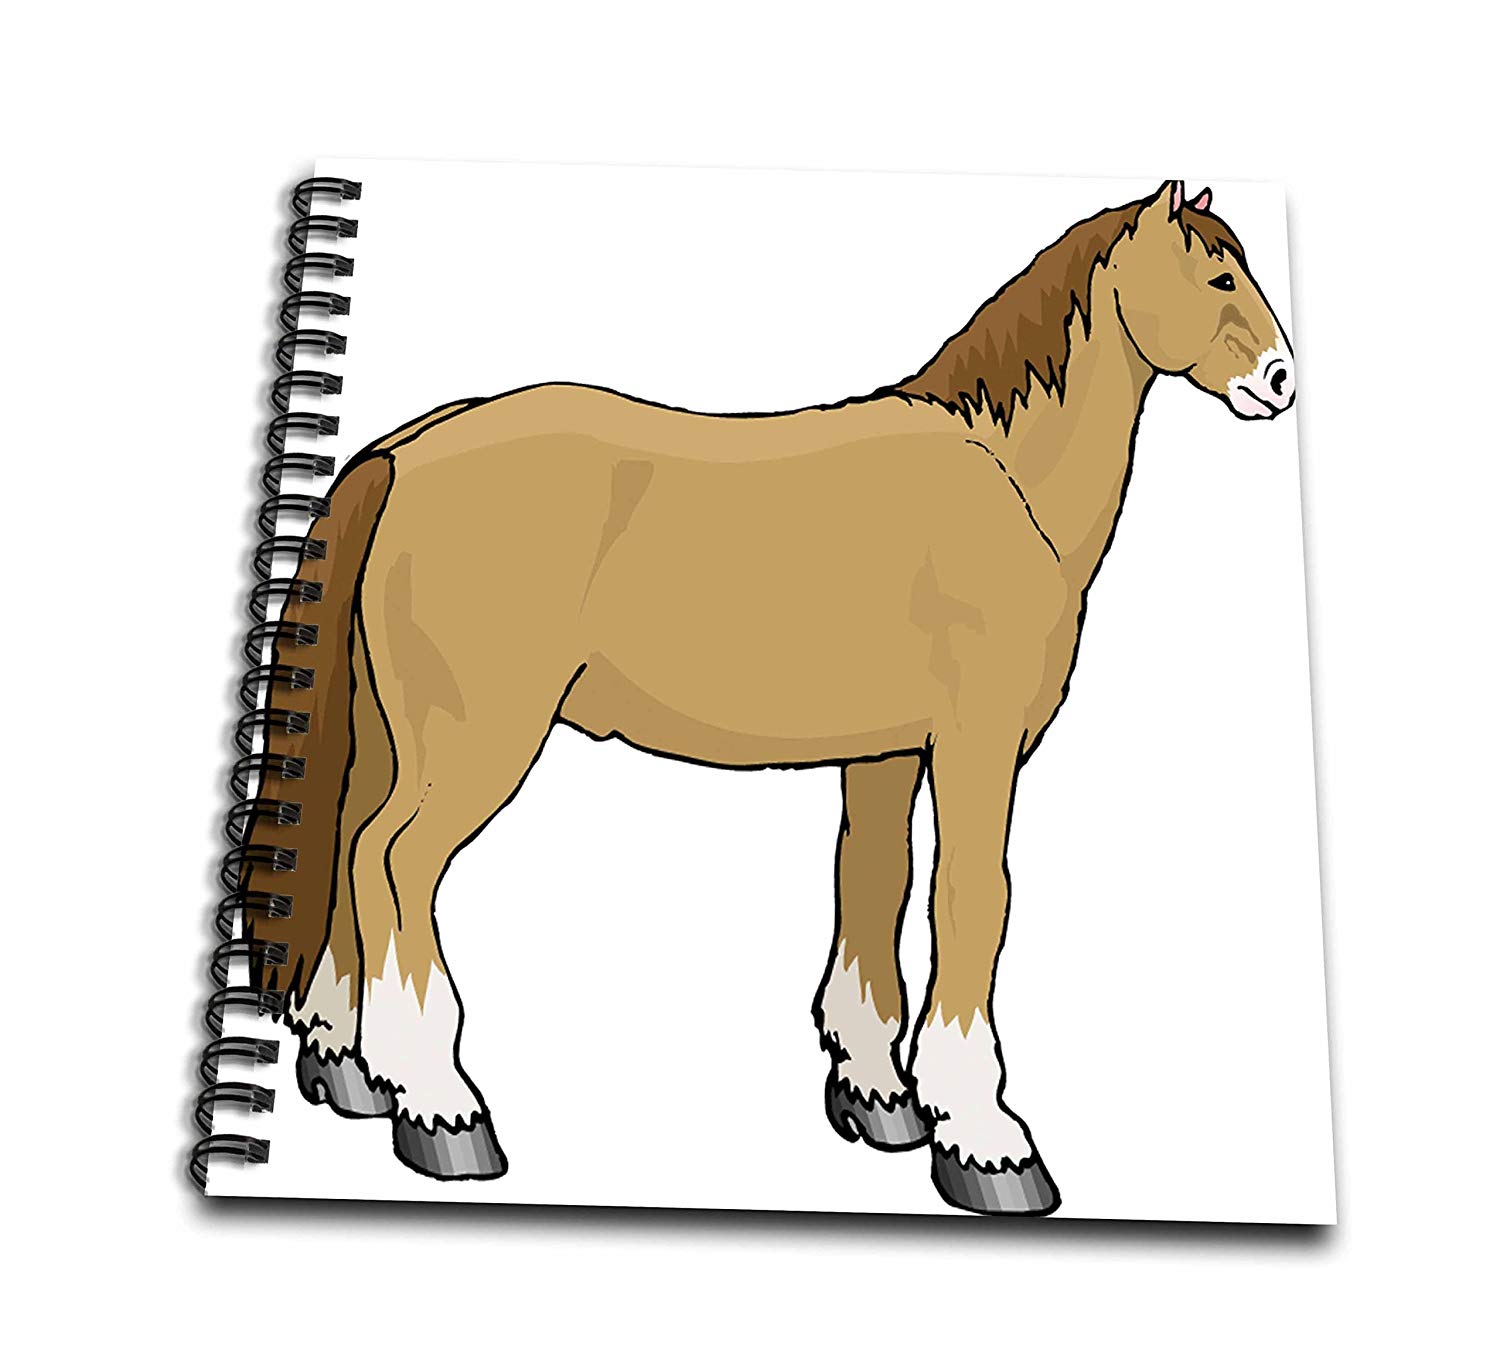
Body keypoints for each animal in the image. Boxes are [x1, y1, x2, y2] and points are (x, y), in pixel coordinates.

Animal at [241, 179, 1294, 1215]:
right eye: (1215, 275)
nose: (1281, 379)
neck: (1003, 480)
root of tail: (407, 451)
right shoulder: (979, 747)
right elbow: (971, 900)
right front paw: (985, 1138)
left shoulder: (886, 755)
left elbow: (873, 886)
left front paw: (881, 1096)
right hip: (475, 744)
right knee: (395, 865)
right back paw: (440, 1106)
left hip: (395, 738)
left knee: (349, 847)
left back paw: (352, 1069)